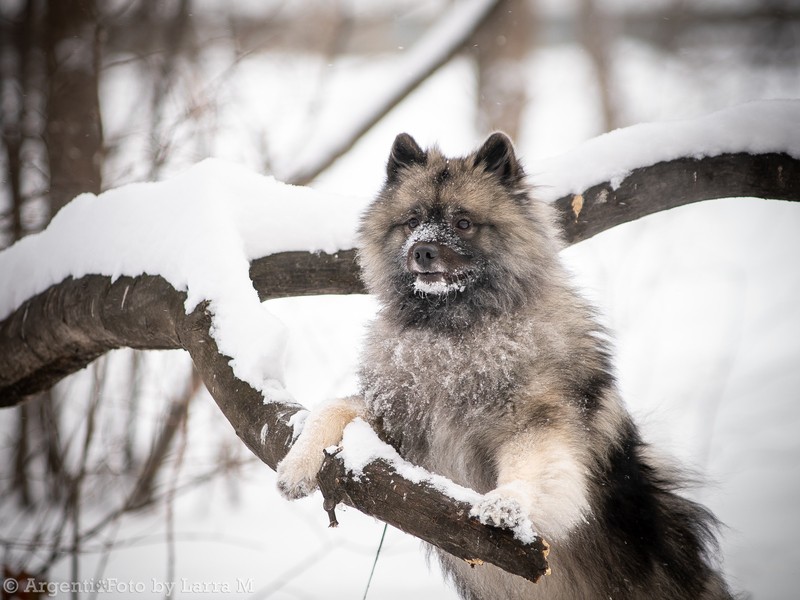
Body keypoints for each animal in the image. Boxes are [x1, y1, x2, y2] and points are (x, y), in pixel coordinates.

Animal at [278, 132, 736, 600]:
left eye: (463, 223)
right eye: (412, 220)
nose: (422, 250)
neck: (454, 333)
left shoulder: (537, 422)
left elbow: (531, 467)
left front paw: (507, 503)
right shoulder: (400, 419)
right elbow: (332, 407)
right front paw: (296, 465)